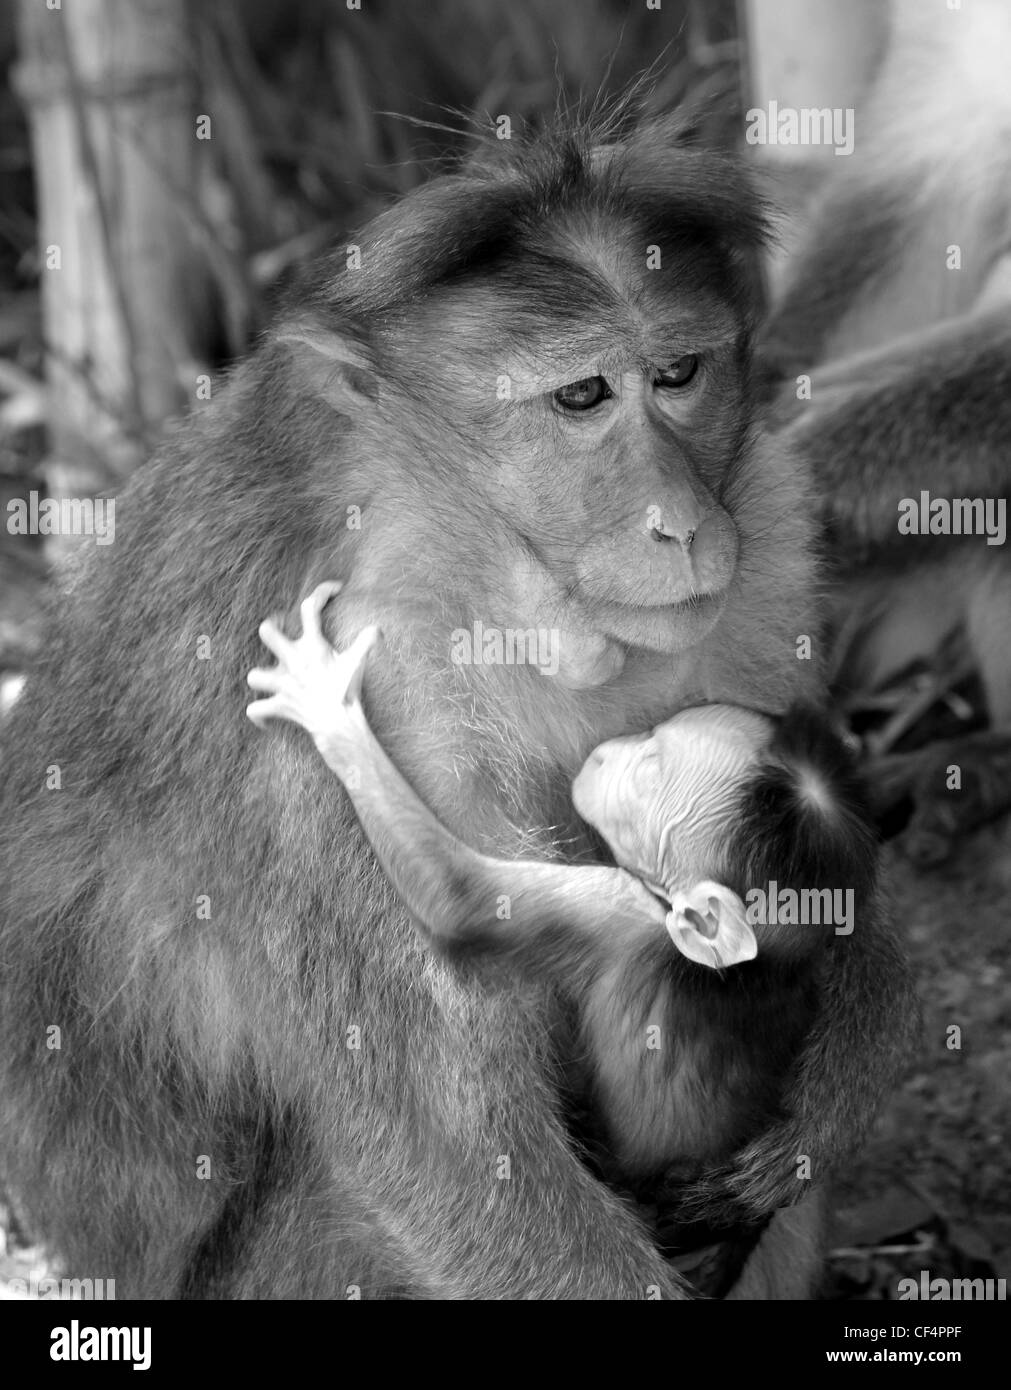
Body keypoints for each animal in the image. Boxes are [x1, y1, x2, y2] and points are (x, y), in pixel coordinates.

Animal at [247, 583, 878, 1184]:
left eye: (649, 769)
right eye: (651, 734)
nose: (606, 752)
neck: (753, 968)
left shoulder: (621, 917)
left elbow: (460, 900)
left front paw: (327, 701)